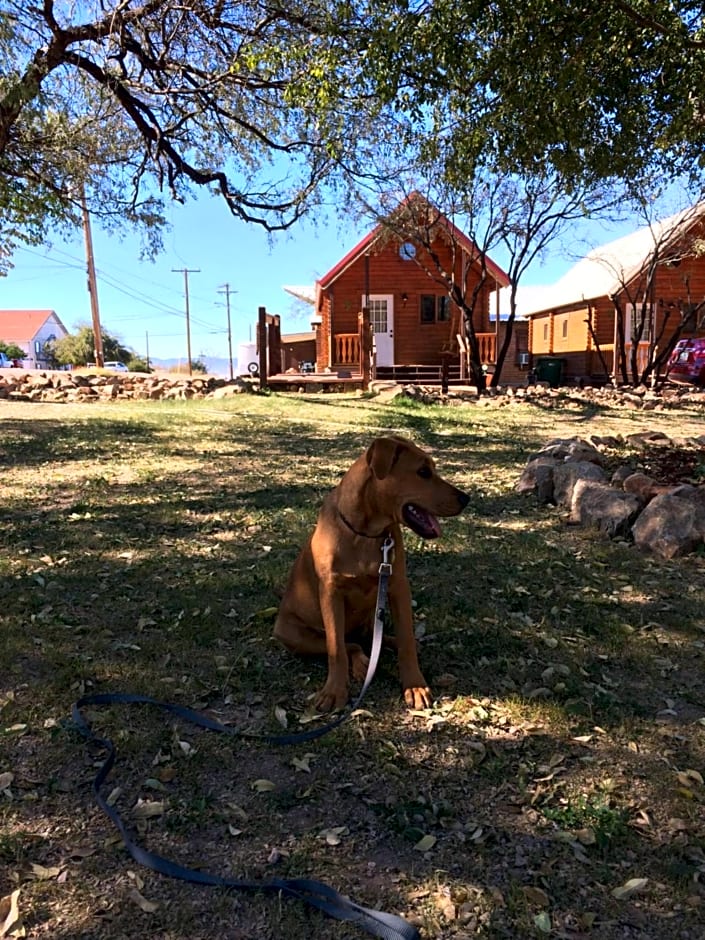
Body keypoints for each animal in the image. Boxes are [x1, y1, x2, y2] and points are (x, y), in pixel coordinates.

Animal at [274, 436, 468, 708]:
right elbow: (336, 648)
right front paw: (334, 691)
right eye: (423, 472)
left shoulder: (398, 586)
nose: (466, 498)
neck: (366, 533)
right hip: (294, 635)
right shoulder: (331, 593)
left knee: (371, 640)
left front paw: (414, 685)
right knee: (351, 644)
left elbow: (407, 641)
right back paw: (361, 663)